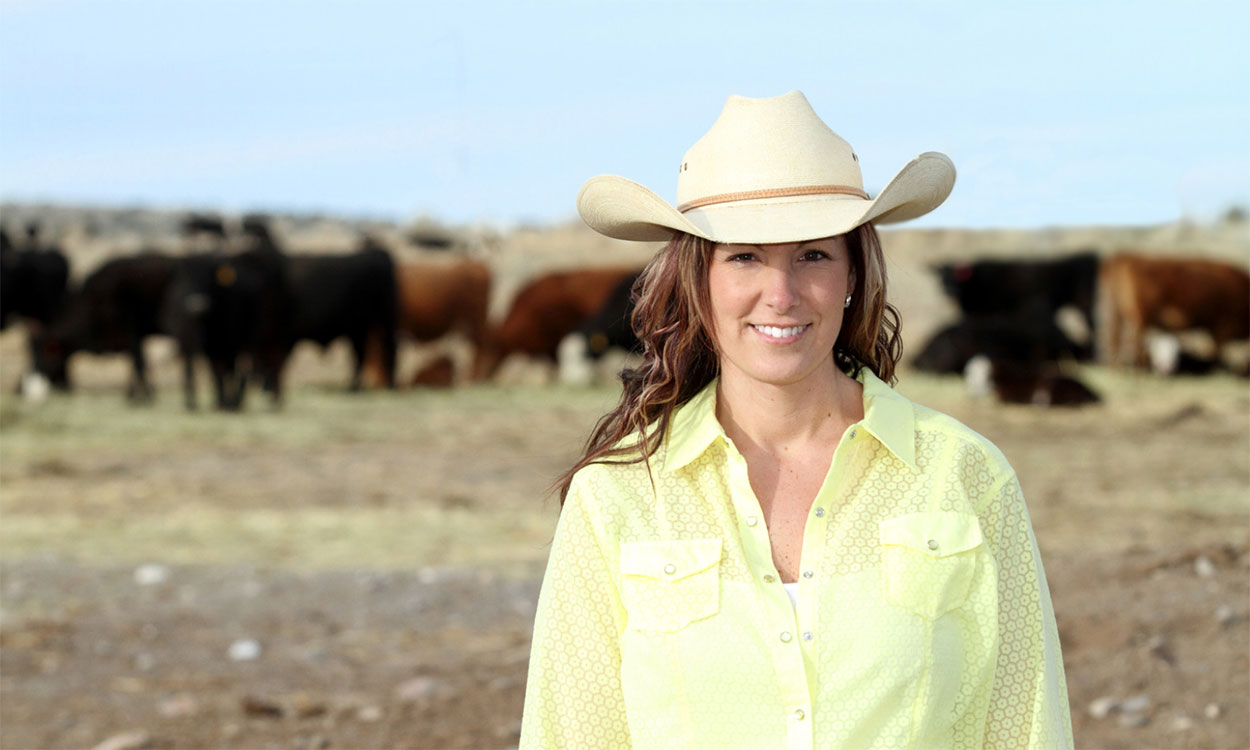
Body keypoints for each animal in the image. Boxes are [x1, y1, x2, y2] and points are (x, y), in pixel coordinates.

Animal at [28, 253, 178, 405]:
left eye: (44, 356)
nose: (31, 387)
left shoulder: (132, 334)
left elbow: (139, 364)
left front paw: (143, 396)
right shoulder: (132, 339)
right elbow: (137, 364)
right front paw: (137, 395)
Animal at [935, 250, 1100, 335]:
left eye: (957, 276)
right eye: (941, 277)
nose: (949, 290)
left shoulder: (992, 313)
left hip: (1084, 302)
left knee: (1092, 325)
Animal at [1100, 253, 1245, 367]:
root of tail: (1123, 258)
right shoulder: (1225, 325)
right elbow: (1216, 351)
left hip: (1117, 313)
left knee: (1116, 338)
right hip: (1141, 316)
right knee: (1134, 341)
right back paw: (1139, 368)